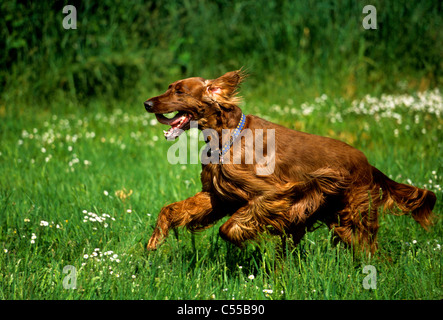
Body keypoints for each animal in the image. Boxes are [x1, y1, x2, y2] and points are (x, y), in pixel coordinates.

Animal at [143, 70, 438, 252]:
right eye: (169, 87)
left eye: (179, 91)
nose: (147, 104)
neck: (226, 135)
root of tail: (368, 164)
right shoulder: (217, 195)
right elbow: (171, 209)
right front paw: (154, 241)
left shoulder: (273, 191)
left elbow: (229, 228)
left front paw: (248, 240)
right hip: (342, 221)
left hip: (356, 214)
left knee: (371, 250)